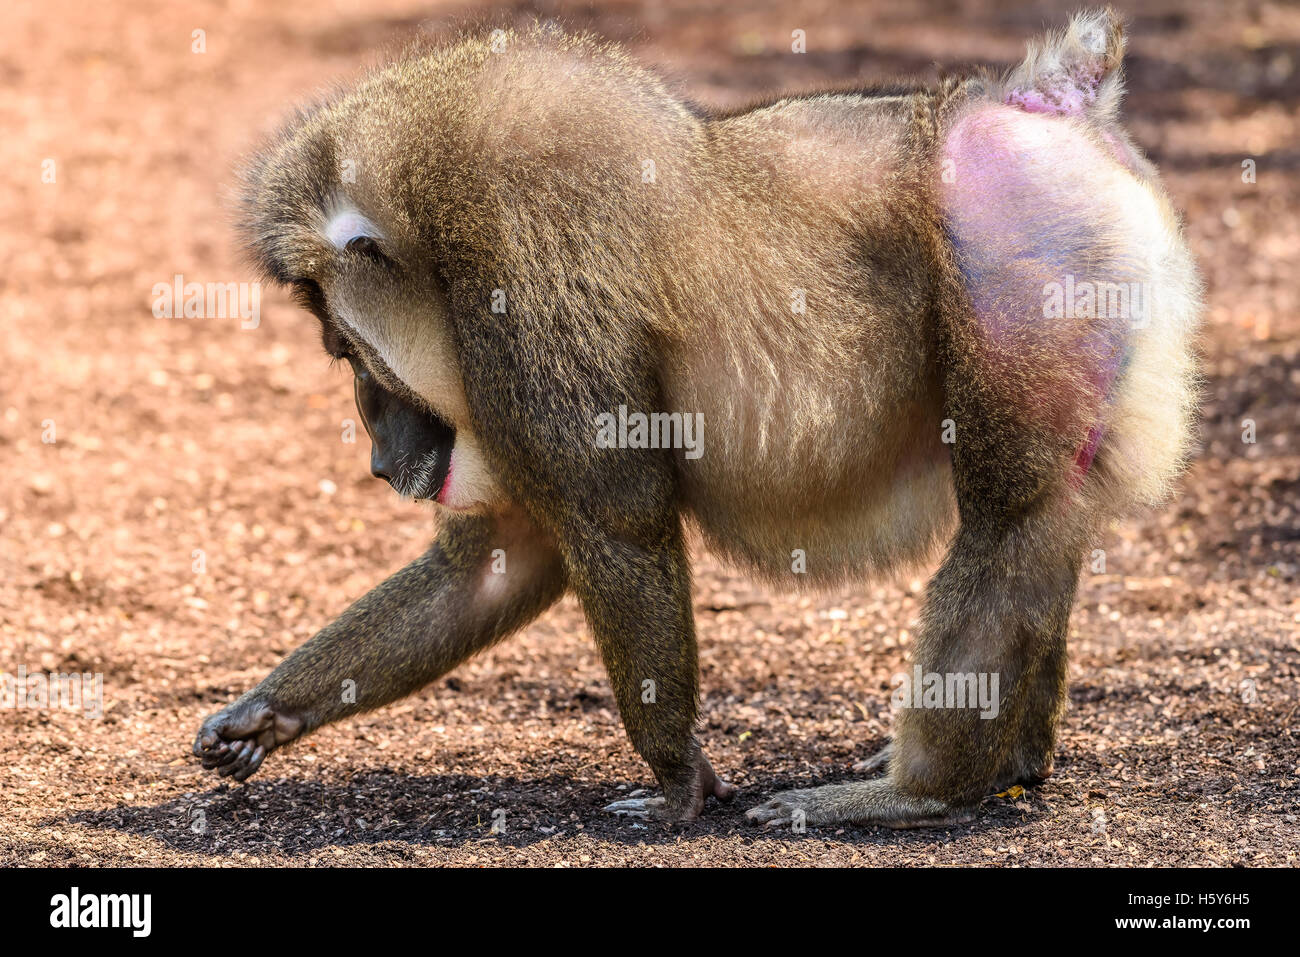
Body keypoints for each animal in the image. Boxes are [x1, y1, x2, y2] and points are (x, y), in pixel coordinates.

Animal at [194, 8, 1201, 827]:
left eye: (342, 348)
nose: (373, 450)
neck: (435, 229)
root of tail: (1036, 104)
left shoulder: (524, 280)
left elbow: (618, 521)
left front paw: (679, 781)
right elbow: (497, 557)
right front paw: (263, 713)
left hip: (1013, 254)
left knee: (1012, 522)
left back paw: (917, 793)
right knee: (1051, 523)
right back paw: (1014, 764)